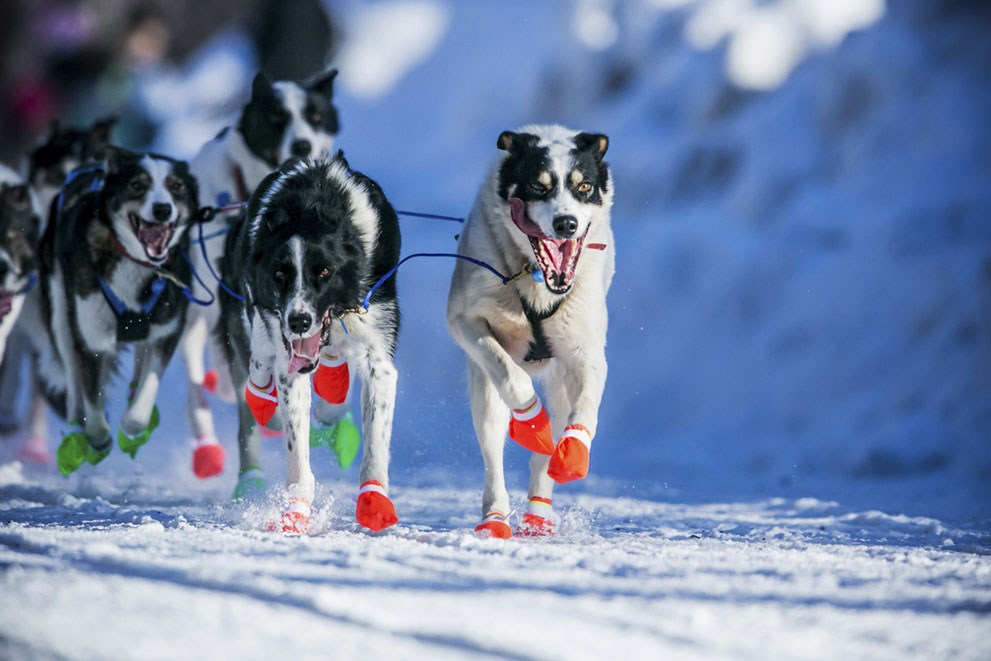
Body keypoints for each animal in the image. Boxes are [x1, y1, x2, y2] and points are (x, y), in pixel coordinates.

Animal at [39, 147, 202, 474]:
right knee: (74, 383)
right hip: (62, 315)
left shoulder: (167, 332)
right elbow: (92, 402)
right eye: (137, 185)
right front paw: (98, 438)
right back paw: (76, 431)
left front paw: (133, 425)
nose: (163, 209)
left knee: (138, 366)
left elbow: (142, 400)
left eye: (176, 186)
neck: (136, 262)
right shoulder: (92, 340)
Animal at [219, 156, 402, 536]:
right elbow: (296, 447)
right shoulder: (286, 353)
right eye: (280, 274)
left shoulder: (378, 354)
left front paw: (374, 500)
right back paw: (263, 398)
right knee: (259, 366)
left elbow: (376, 439)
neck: (311, 208)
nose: (299, 321)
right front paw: (296, 509)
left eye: (324, 272)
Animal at [448, 124, 612, 536]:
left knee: (548, 449)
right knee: (493, 450)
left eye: (584, 186)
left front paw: (573, 453)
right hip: (484, 393)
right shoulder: (465, 321)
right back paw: (495, 516)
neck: (535, 278)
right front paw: (532, 420)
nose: (566, 223)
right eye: (539, 186)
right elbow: (511, 377)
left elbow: (587, 408)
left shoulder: (587, 352)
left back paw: (538, 512)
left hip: (561, 379)